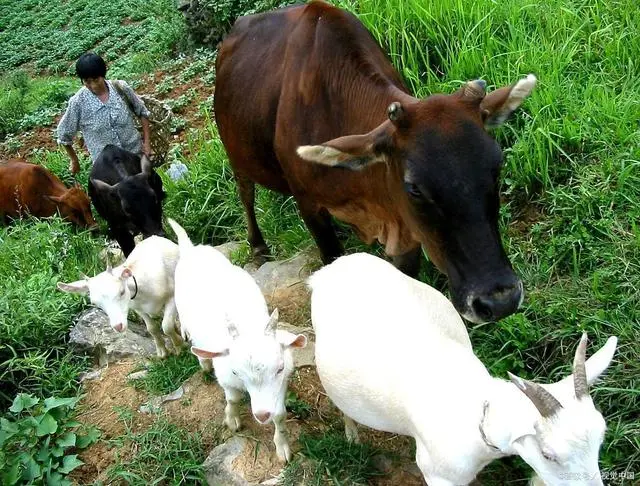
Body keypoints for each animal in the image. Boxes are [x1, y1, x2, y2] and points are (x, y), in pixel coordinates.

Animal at [168, 218, 308, 462]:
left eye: (280, 368)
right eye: (236, 371)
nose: (262, 414)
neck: (248, 325)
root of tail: (191, 249)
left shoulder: (280, 385)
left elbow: (280, 415)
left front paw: (282, 447)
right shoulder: (227, 378)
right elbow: (232, 400)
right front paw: (232, 420)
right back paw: (202, 361)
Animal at [214, 0, 536, 322]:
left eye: (497, 167)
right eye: (414, 188)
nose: (500, 300)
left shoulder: (404, 227)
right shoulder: (309, 205)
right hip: (236, 156)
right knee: (246, 194)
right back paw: (258, 247)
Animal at [308, 254, 616, 486]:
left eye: (601, 437)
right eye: (548, 454)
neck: (475, 414)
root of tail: (330, 270)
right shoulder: (438, 474)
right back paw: (352, 436)